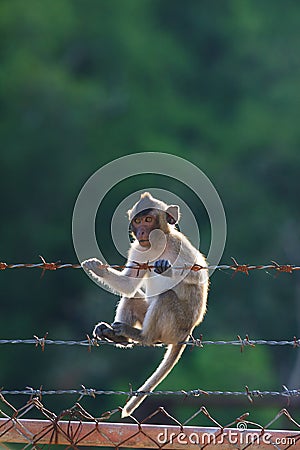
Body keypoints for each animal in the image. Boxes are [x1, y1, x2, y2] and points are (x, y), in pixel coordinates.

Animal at [82, 192, 209, 416]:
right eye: (137, 221)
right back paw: (118, 336)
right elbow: (129, 285)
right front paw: (96, 268)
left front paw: (167, 268)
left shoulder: (179, 244)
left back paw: (142, 336)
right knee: (132, 297)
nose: (141, 231)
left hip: (176, 325)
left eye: (148, 220)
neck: (158, 245)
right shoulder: (138, 249)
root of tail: (188, 332)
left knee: (166, 297)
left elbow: (198, 275)